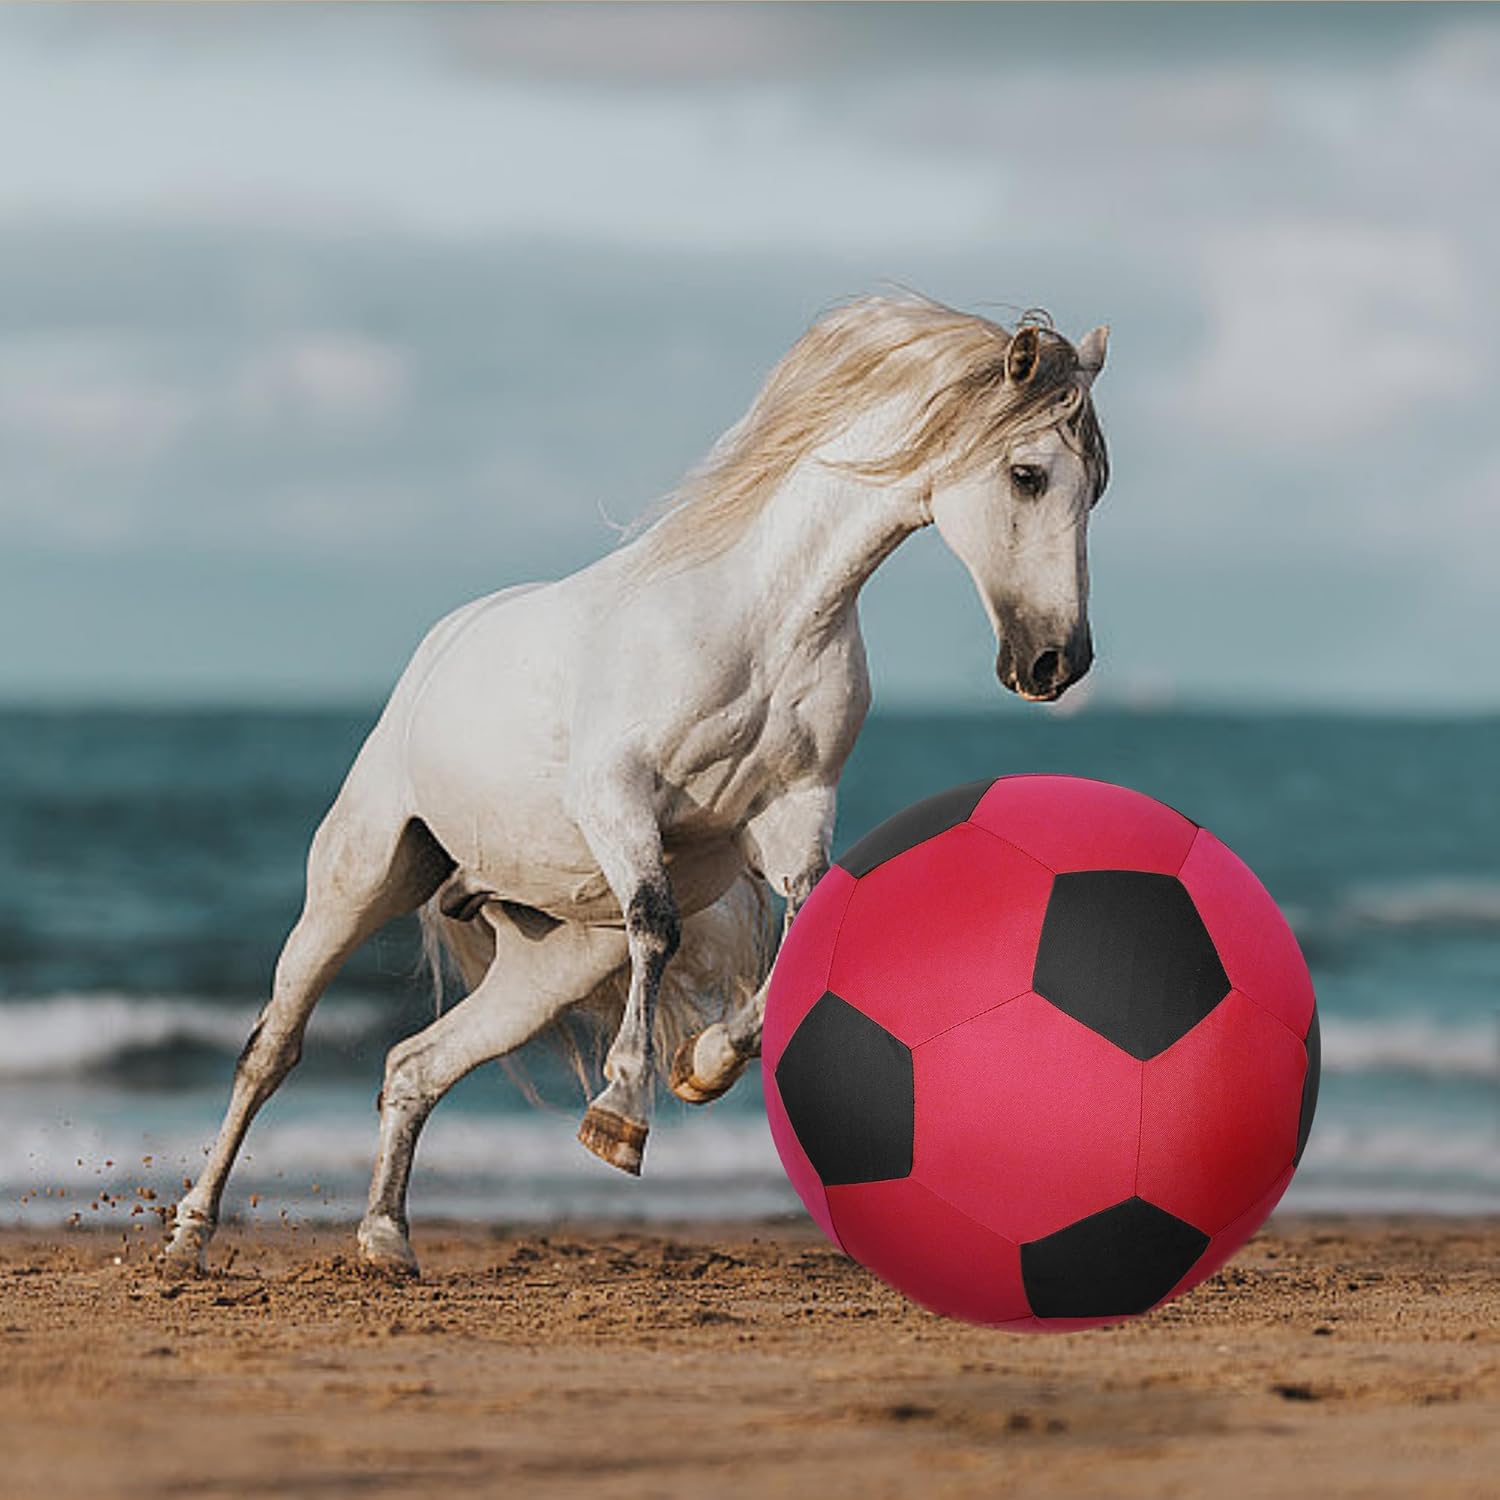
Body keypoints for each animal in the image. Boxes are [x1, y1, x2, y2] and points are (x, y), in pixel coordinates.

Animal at [163, 293, 1110, 1276]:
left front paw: (704, 1065)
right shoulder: (617, 796)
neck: (763, 623)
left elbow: (803, 932)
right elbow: (657, 922)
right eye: (1029, 475)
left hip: (551, 962)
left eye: (1098, 488)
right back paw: (188, 1237)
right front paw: (620, 1117)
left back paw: (386, 1239)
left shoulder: (795, 810)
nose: (1057, 664)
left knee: (414, 1066)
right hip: (358, 878)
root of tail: (441, 647)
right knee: (273, 1049)